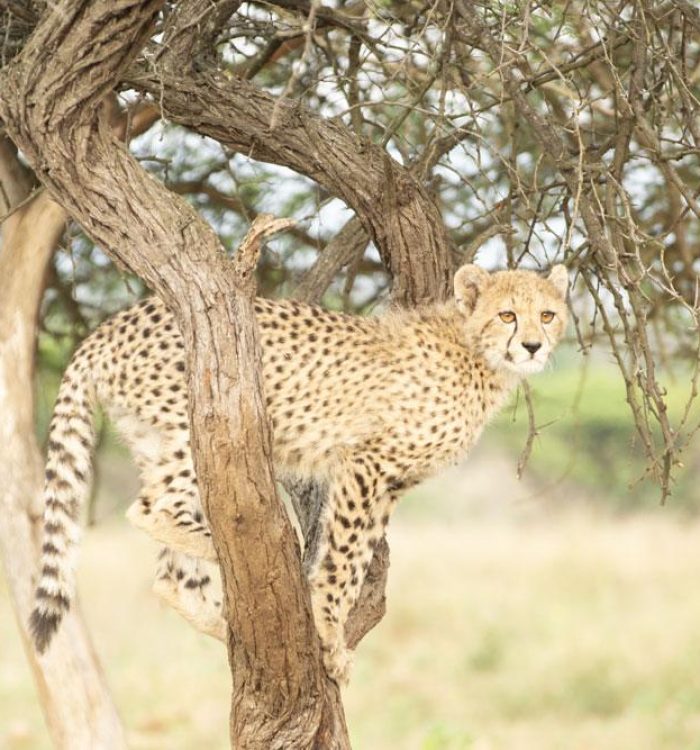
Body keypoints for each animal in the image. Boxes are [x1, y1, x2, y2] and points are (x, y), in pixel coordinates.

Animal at [30, 262, 568, 683]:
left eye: (547, 314)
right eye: (506, 314)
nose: (533, 346)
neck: (474, 350)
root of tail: (111, 323)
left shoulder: (389, 485)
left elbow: (357, 557)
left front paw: (333, 636)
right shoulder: (365, 464)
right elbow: (343, 558)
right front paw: (327, 632)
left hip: (156, 438)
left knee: (168, 574)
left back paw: (227, 625)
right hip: (201, 426)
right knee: (149, 509)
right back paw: (245, 550)